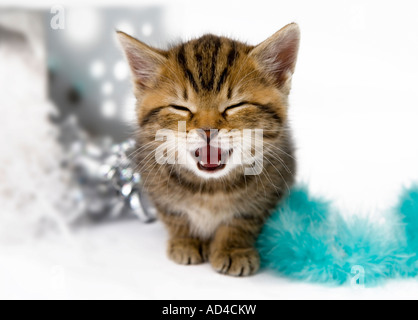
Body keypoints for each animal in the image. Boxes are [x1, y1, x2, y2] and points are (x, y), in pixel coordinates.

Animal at [117, 23, 300, 278]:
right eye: (180, 108)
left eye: (235, 106)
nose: (207, 130)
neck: (211, 189)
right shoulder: (154, 183)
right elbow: (174, 214)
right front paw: (186, 240)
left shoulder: (272, 189)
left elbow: (244, 218)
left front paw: (233, 247)